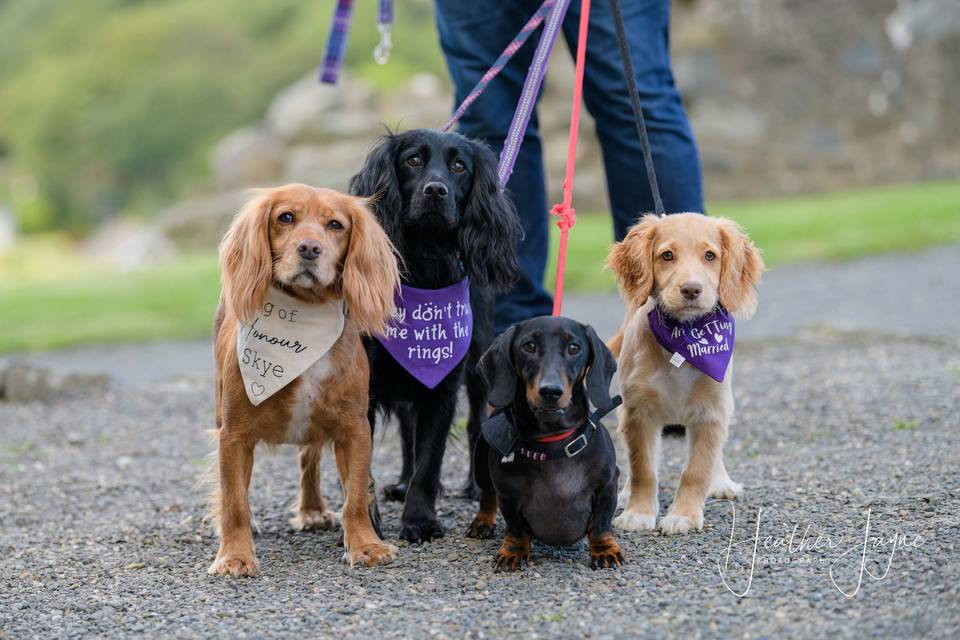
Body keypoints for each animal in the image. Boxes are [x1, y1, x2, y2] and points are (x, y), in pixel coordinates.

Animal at [348, 130, 520, 544]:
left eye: (459, 166)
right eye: (412, 160)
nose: (435, 190)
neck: (421, 270)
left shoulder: (443, 383)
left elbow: (430, 460)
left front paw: (420, 521)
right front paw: (369, 523)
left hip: (479, 367)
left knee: (475, 424)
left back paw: (474, 487)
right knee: (407, 433)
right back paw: (400, 482)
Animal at [612, 212, 760, 532]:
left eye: (710, 256)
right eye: (667, 255)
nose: (691, 289)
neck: (685, 338)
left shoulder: (711, 412)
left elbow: (696, 470)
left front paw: (684, 516)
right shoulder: (638, 411)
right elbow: (643, 467)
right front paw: (638, 513)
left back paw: (721, 482)